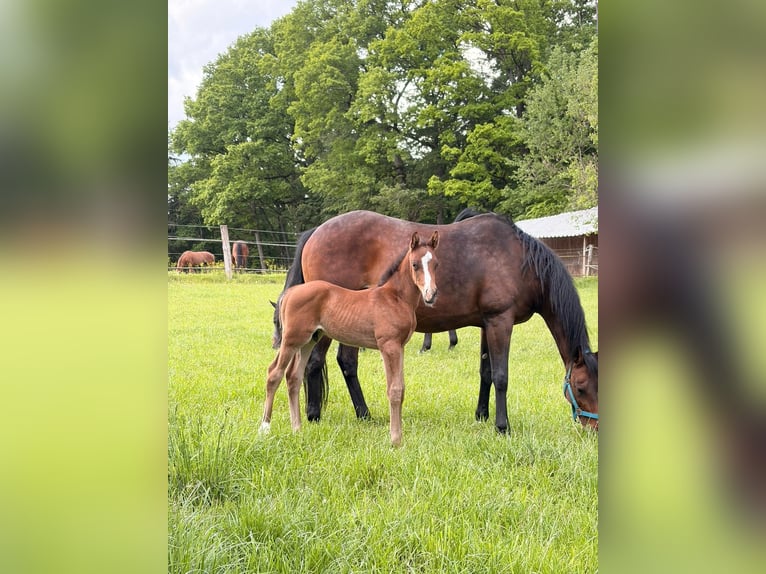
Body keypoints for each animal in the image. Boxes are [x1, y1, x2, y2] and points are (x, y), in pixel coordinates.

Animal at [261, 231, 440, 446]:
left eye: (436, 264)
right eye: (414, 264)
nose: (431, 294)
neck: (394, 297)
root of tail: (291, 293)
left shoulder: (400, 346)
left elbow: (401, 388)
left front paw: (398, 437)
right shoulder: (389, 346)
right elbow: (394, 390)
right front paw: (395, 440)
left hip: (310, 340)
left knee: (293, 376)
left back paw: (297, 429)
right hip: (292, 339)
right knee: (274, 373)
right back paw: (265, 428)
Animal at [273, 209, 598, 432]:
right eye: (581, 387)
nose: (593, 428)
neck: (518, 259)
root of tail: (316, 231)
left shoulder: (487, 324)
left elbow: (485, 372)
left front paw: (481, 416)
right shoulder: (500, 322)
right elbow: (501, 376)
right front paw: (502, 426)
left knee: (346, 363)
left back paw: (363, 415)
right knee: (316, 363)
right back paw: (314, 415)